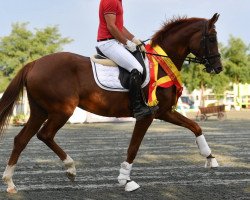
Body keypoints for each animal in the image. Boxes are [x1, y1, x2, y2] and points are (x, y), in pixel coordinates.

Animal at [0, 13, 223, 193]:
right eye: (212, 38)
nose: (218, 68)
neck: (161, 64)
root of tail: (34, 63)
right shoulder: (147, 115)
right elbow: (133, 148)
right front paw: (126, 180)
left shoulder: (164, 111)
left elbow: (195, 126)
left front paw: (210, 158)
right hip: (62, 110)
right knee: (45, 135)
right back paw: (70, 168)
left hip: (40, 111)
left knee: (21, 139)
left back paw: (10, 182)